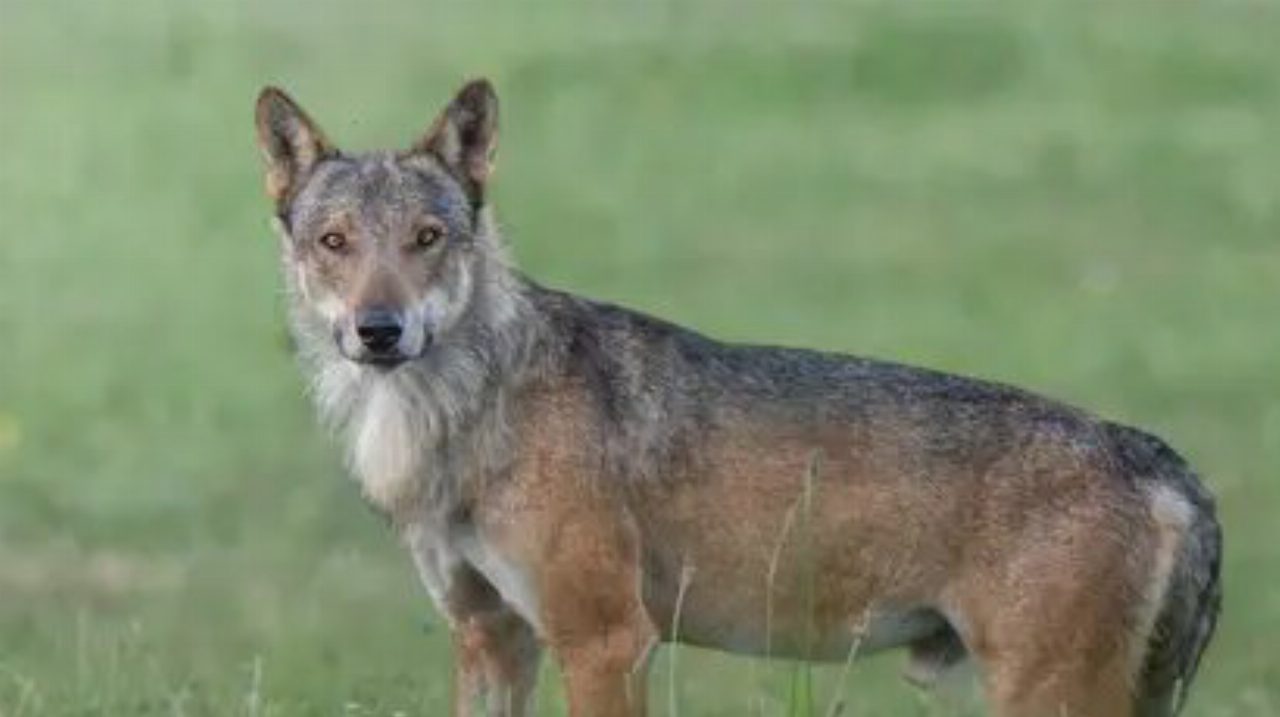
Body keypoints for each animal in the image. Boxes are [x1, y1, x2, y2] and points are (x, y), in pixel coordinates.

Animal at [254, 79, 1221, 717]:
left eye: (427, 237)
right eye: (335, 242)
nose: (379, 330)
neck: (460, 415)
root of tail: (1155, 456)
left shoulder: (606, 641)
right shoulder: (491, 638)